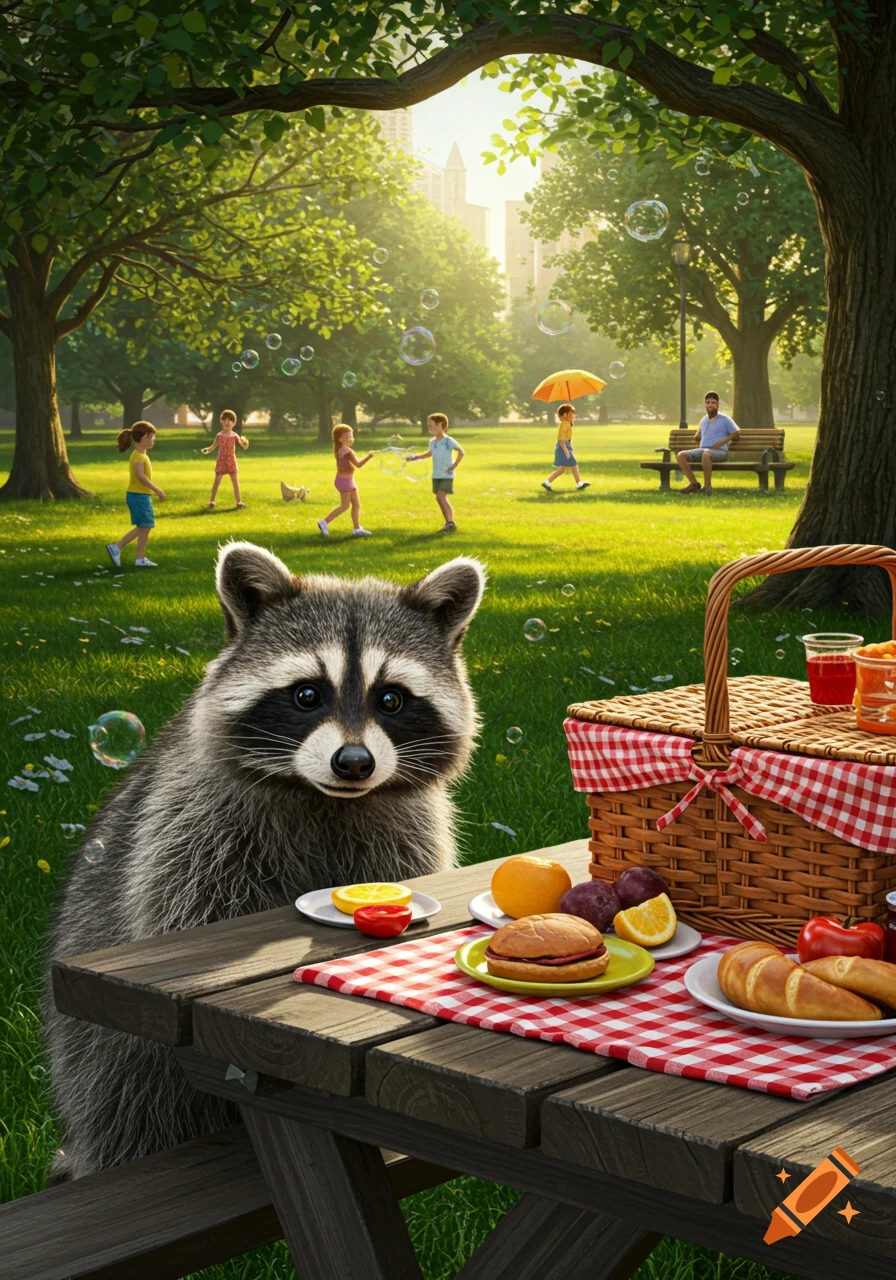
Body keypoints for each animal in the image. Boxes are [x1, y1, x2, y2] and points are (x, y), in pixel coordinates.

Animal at [43, 542, 485, 1180]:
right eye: (307, 694)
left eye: (392, 699)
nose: (355, 763)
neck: (325, 799)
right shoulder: (192, 827)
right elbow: (191, 912)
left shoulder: (404, 830)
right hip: (97, 1055)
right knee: (133, 1100)